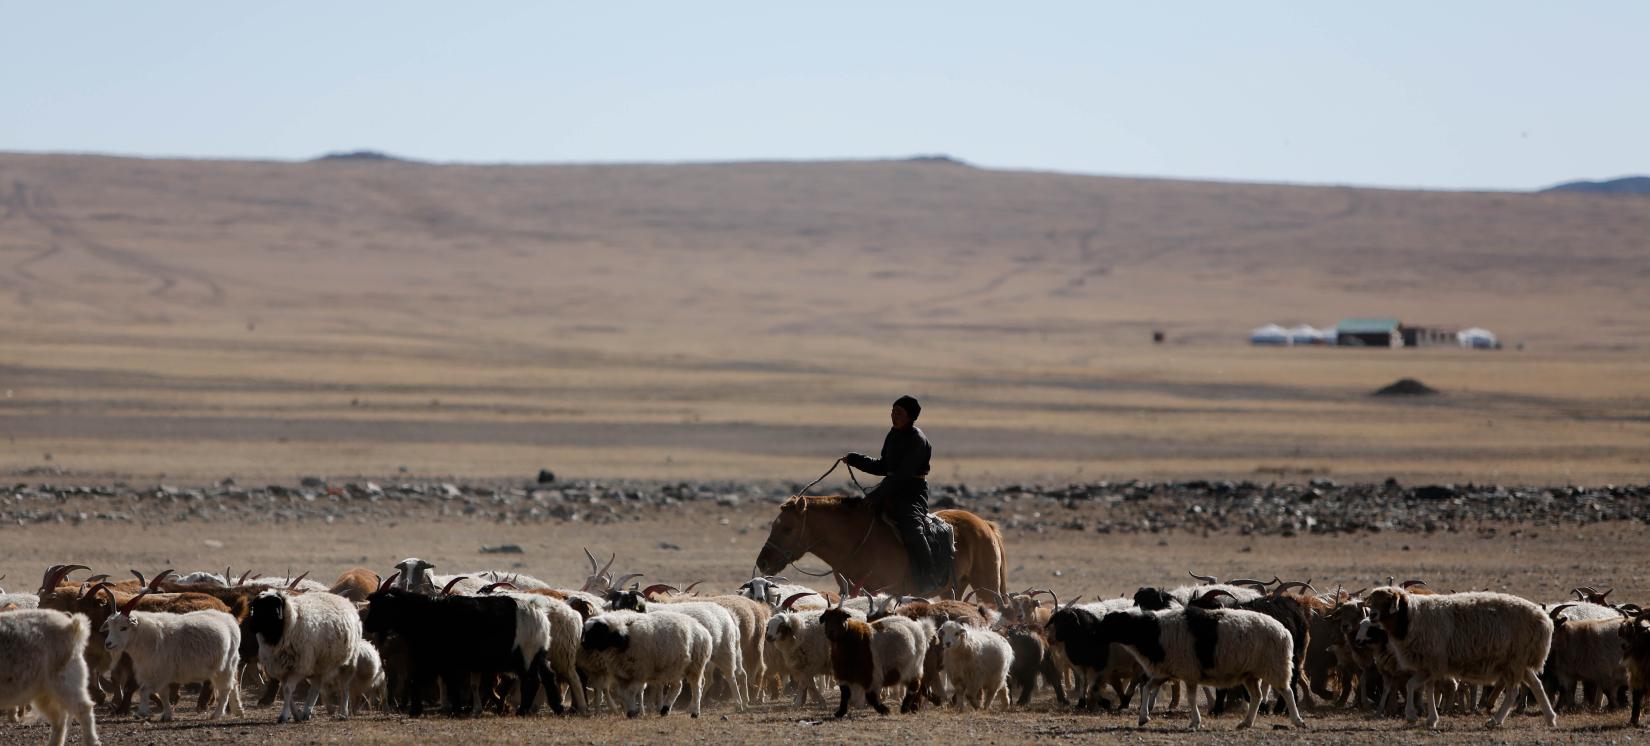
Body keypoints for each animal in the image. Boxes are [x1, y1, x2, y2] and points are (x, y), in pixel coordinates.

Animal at [247, 587, 361, 722]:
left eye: (266, 608)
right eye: (255, 607)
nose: (250, 627)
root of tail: (345, 600)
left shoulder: (298, 667)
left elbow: (288, 689)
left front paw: (284, 715)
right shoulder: (281, 668)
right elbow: (286, 690)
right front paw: (296, 714)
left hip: (348, 662)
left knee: (344, 687)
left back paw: (343, 712)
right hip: (318, 663)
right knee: (316, 687)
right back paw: (307, 711)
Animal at [752, 495, 1003, 600]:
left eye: (787, 528)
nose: (762, 561)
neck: (857, 541)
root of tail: (986, 525)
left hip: (986, 586)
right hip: (955, 588)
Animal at [1353, 584, 1557, 726]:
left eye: (1387, 601)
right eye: (1373, 602)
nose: (1372, 615)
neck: (1410, 618)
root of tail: (1545, 621)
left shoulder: (1432, 661)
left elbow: (1418, 687)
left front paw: (1413, 715)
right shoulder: (1428, 664)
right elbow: (1422, 687)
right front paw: (1430, 719)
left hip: (1515, 660)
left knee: (1514, 691)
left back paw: (1495, 721)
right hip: (1520, 661)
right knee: (1536, 684)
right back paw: (1550, 718)